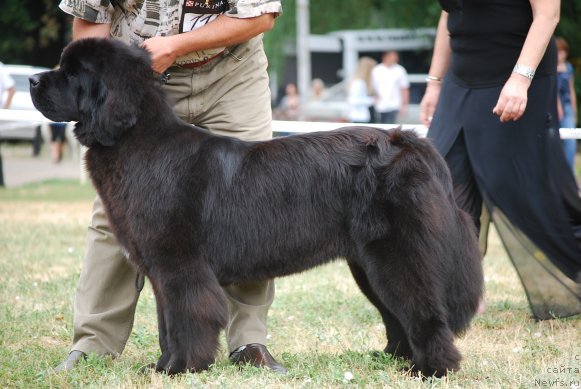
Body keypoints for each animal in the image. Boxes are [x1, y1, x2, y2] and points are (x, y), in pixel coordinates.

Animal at [29, 38, 482, 376]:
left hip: (397, 256)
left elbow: (187, 318)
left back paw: (432, 370)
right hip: (368, 265)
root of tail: (408, 140)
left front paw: (182, 368)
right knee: (396, 314)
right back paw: (396, 362)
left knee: (424, 311)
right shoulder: (161, 270)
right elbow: (166, 322)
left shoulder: (180, 265)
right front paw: (162, 367)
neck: (137, 141)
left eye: (73, 73)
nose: (32, 78)